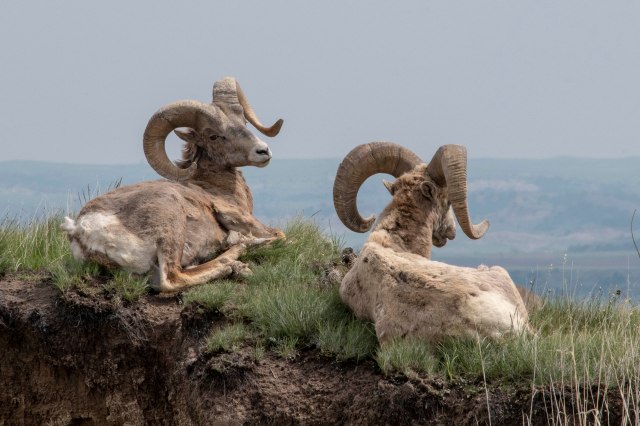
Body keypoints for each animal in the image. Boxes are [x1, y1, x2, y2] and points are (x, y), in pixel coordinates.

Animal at [61, 77, 284, 293]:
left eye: (244, 121)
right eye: (213, 136)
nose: (263, 151)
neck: (216, 186)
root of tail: (81, 229)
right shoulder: (241, 218)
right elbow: (279, 235)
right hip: (171, 226)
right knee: (172, 279)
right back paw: (237, 255)